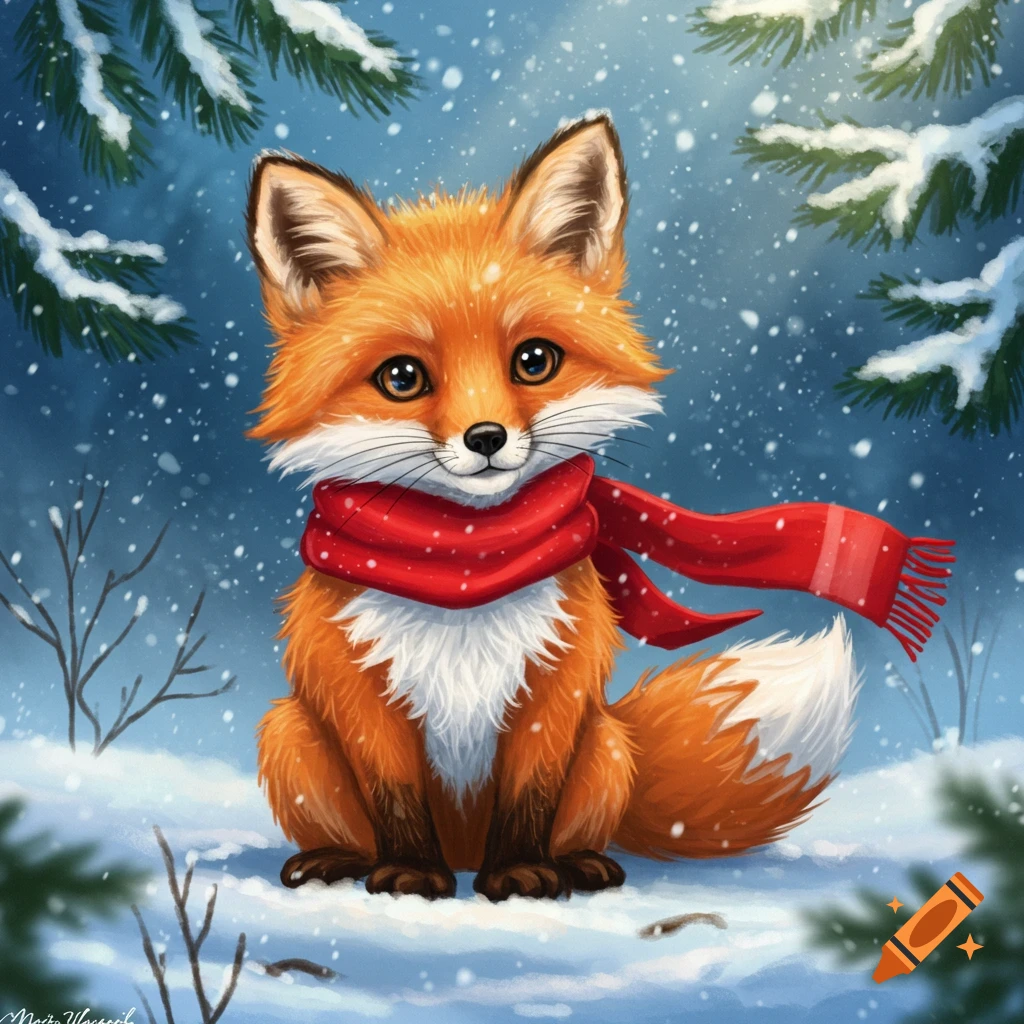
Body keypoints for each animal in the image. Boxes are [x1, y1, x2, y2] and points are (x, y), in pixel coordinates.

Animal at [246, 113, 949, 901]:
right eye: (402, 377)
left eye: (534, 361)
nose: (485, 438)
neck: (464, 563)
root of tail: (465, 846)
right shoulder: (360, 690)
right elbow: (395, 797)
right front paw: (410, 873)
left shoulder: (556, 686)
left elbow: (530, 797)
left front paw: (521, 872)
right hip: (286, 732)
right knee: (343, 821)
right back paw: (339, 860)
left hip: (607, 743)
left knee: (582, 822)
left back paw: (578, 863)